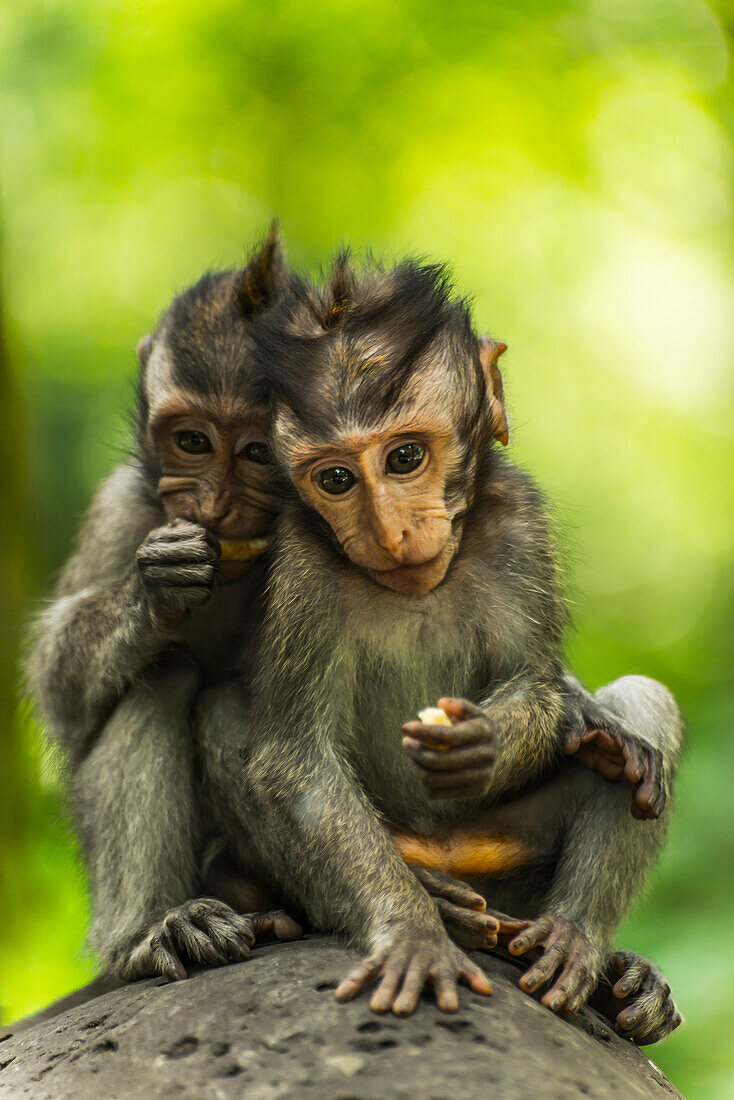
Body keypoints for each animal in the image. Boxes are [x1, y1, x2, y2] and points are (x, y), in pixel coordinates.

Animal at [194, 251, 682, 1029]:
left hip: (509, 864)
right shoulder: (303, 561)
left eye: (404, 459)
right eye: (337, 478)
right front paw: (414, 931)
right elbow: (297, 761)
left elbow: (537, 678)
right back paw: (443, 907)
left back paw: (581, 946)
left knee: (642, 716)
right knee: (222, 720)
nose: (391, 532)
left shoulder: (521, 520)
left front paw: (489, 738)